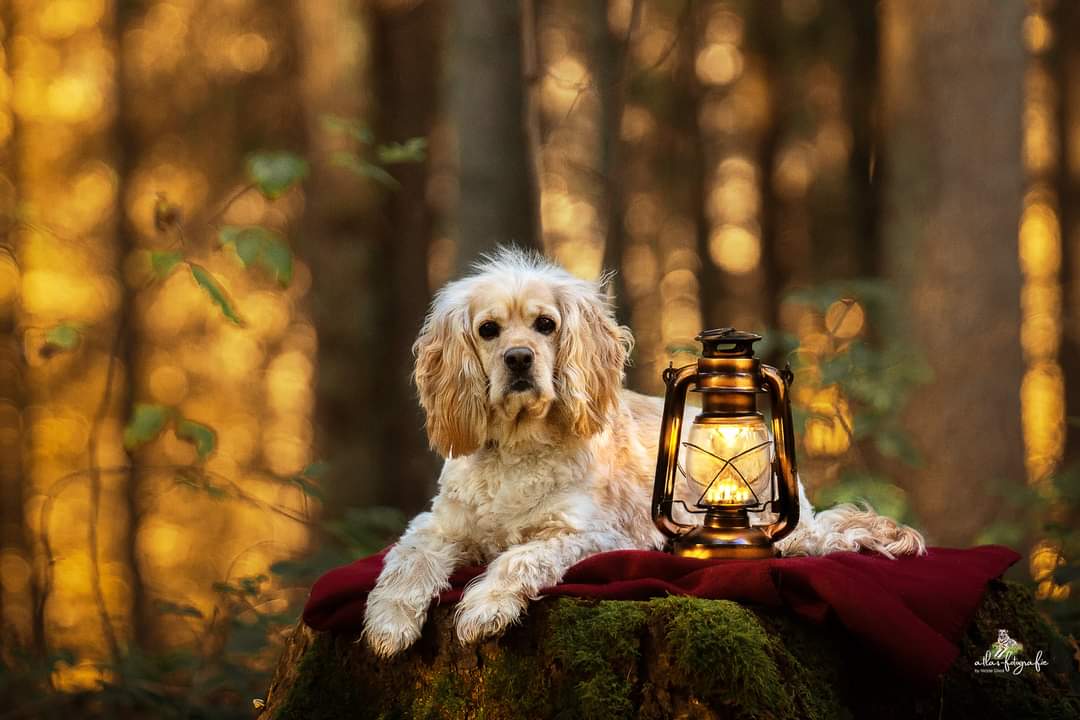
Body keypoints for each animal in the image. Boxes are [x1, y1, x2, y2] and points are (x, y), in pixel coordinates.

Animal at [358, 248, 924, 660]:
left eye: (545, 325)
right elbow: (405, 562)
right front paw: (388, 623)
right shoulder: (439, 525)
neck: (518, 448)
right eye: (488, 330)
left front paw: (484, 608)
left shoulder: (588, 535)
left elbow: (519, 557)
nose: (518, 359)